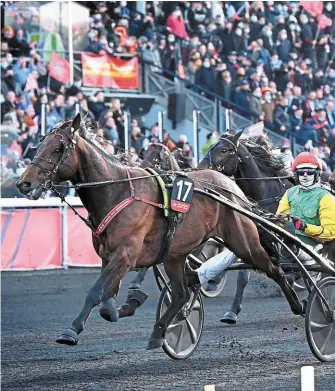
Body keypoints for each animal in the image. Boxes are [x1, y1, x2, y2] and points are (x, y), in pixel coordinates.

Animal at [16, 115, 308, 350]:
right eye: (38, 145)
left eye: (57, 148)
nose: (23, 183)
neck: (117, 191)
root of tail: (231, 187)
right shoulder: (109, 256)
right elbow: (107, 298)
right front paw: (124, 305)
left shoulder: (126, 254)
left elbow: (95, 292)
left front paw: (71, 330)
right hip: (175, 255)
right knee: (180, 293)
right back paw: (159, 332)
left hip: (243, 241)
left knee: (274, 269)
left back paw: (300, 304)